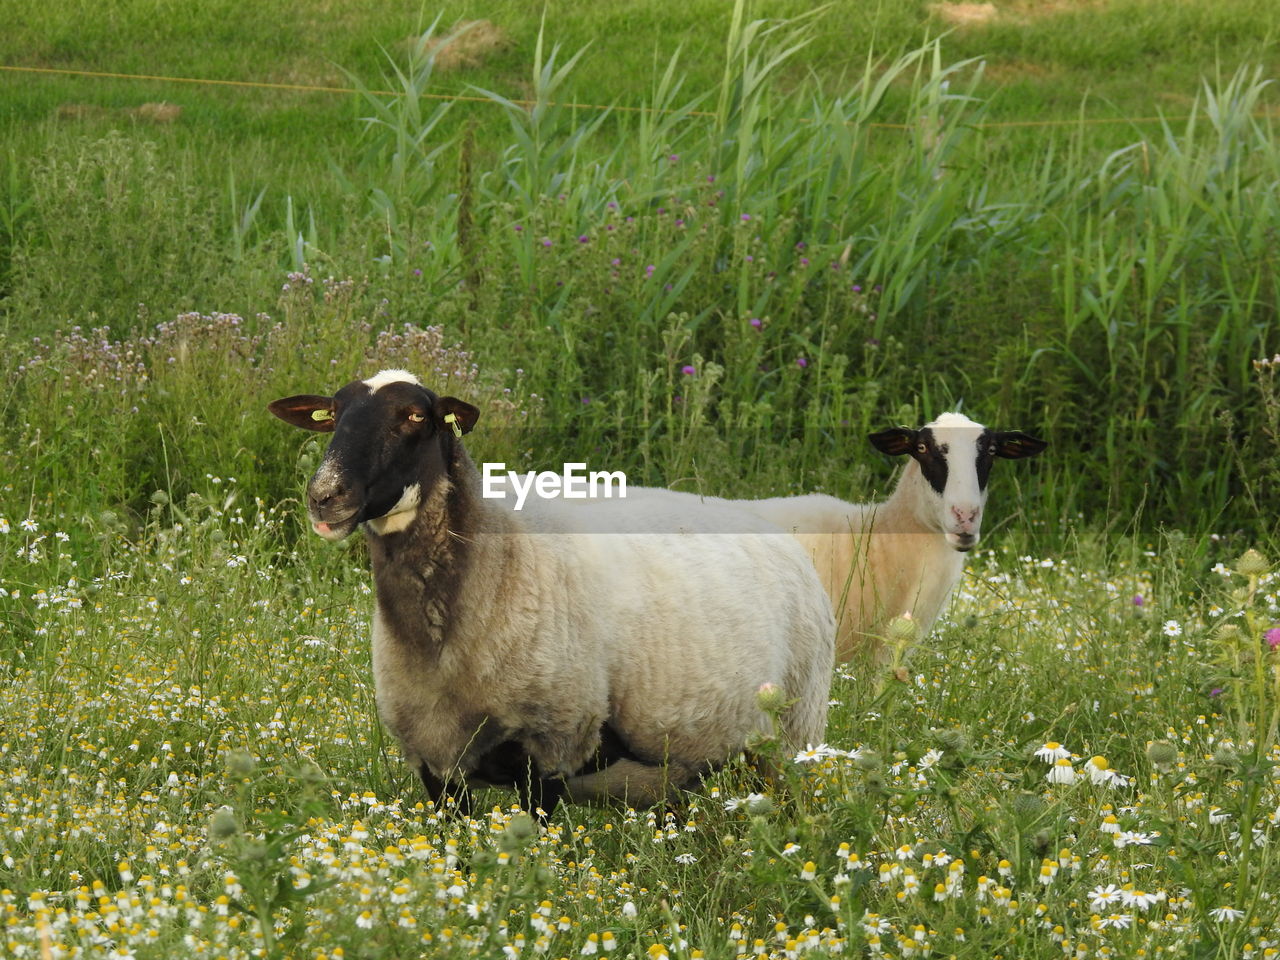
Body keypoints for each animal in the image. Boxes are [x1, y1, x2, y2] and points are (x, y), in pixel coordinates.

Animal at [267, 371, 839, 814]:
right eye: (333, 413)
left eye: (413, 416)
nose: (325, 496)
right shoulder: (434, 761)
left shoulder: (552, 746)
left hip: (792, 736)